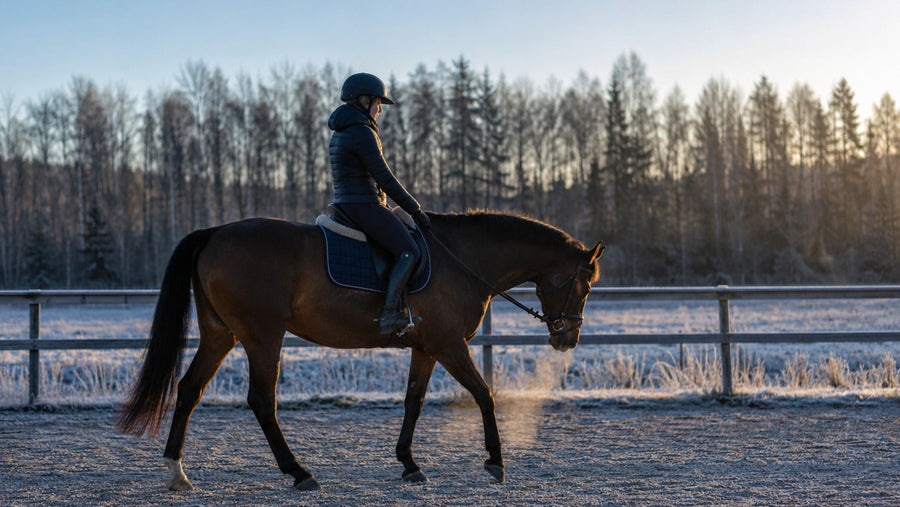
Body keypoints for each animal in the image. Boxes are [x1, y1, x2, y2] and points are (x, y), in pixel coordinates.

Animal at [116, 210, 604, 491]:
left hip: (221, 335)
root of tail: (215, 232)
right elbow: (484, 395)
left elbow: (413, 402)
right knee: (260, 401)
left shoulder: (426, 347)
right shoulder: (449, 345)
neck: (463, 259)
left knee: (189, 390)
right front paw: (495, 461)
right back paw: (299, 472)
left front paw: (409, 464)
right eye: (584, 285)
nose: (567, 339)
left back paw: (177, 472)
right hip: (262, 336)